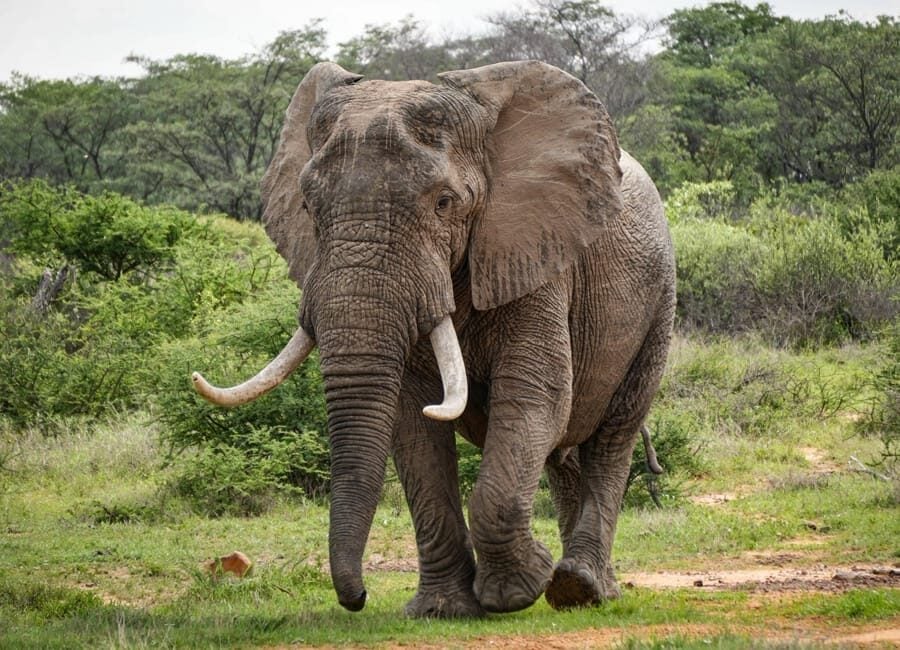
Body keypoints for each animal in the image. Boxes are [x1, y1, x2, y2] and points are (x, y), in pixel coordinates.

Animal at [192, 60, 676, 618]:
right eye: (309, 208)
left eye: (445, 203)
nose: (358, 597)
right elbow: (413, 420)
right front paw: (443, 610)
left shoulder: (534, 252)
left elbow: (535, 394)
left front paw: (514, 591)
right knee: (565, 453)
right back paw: (581, 589)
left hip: (659, 301)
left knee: (613, 436)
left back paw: (581, 588)